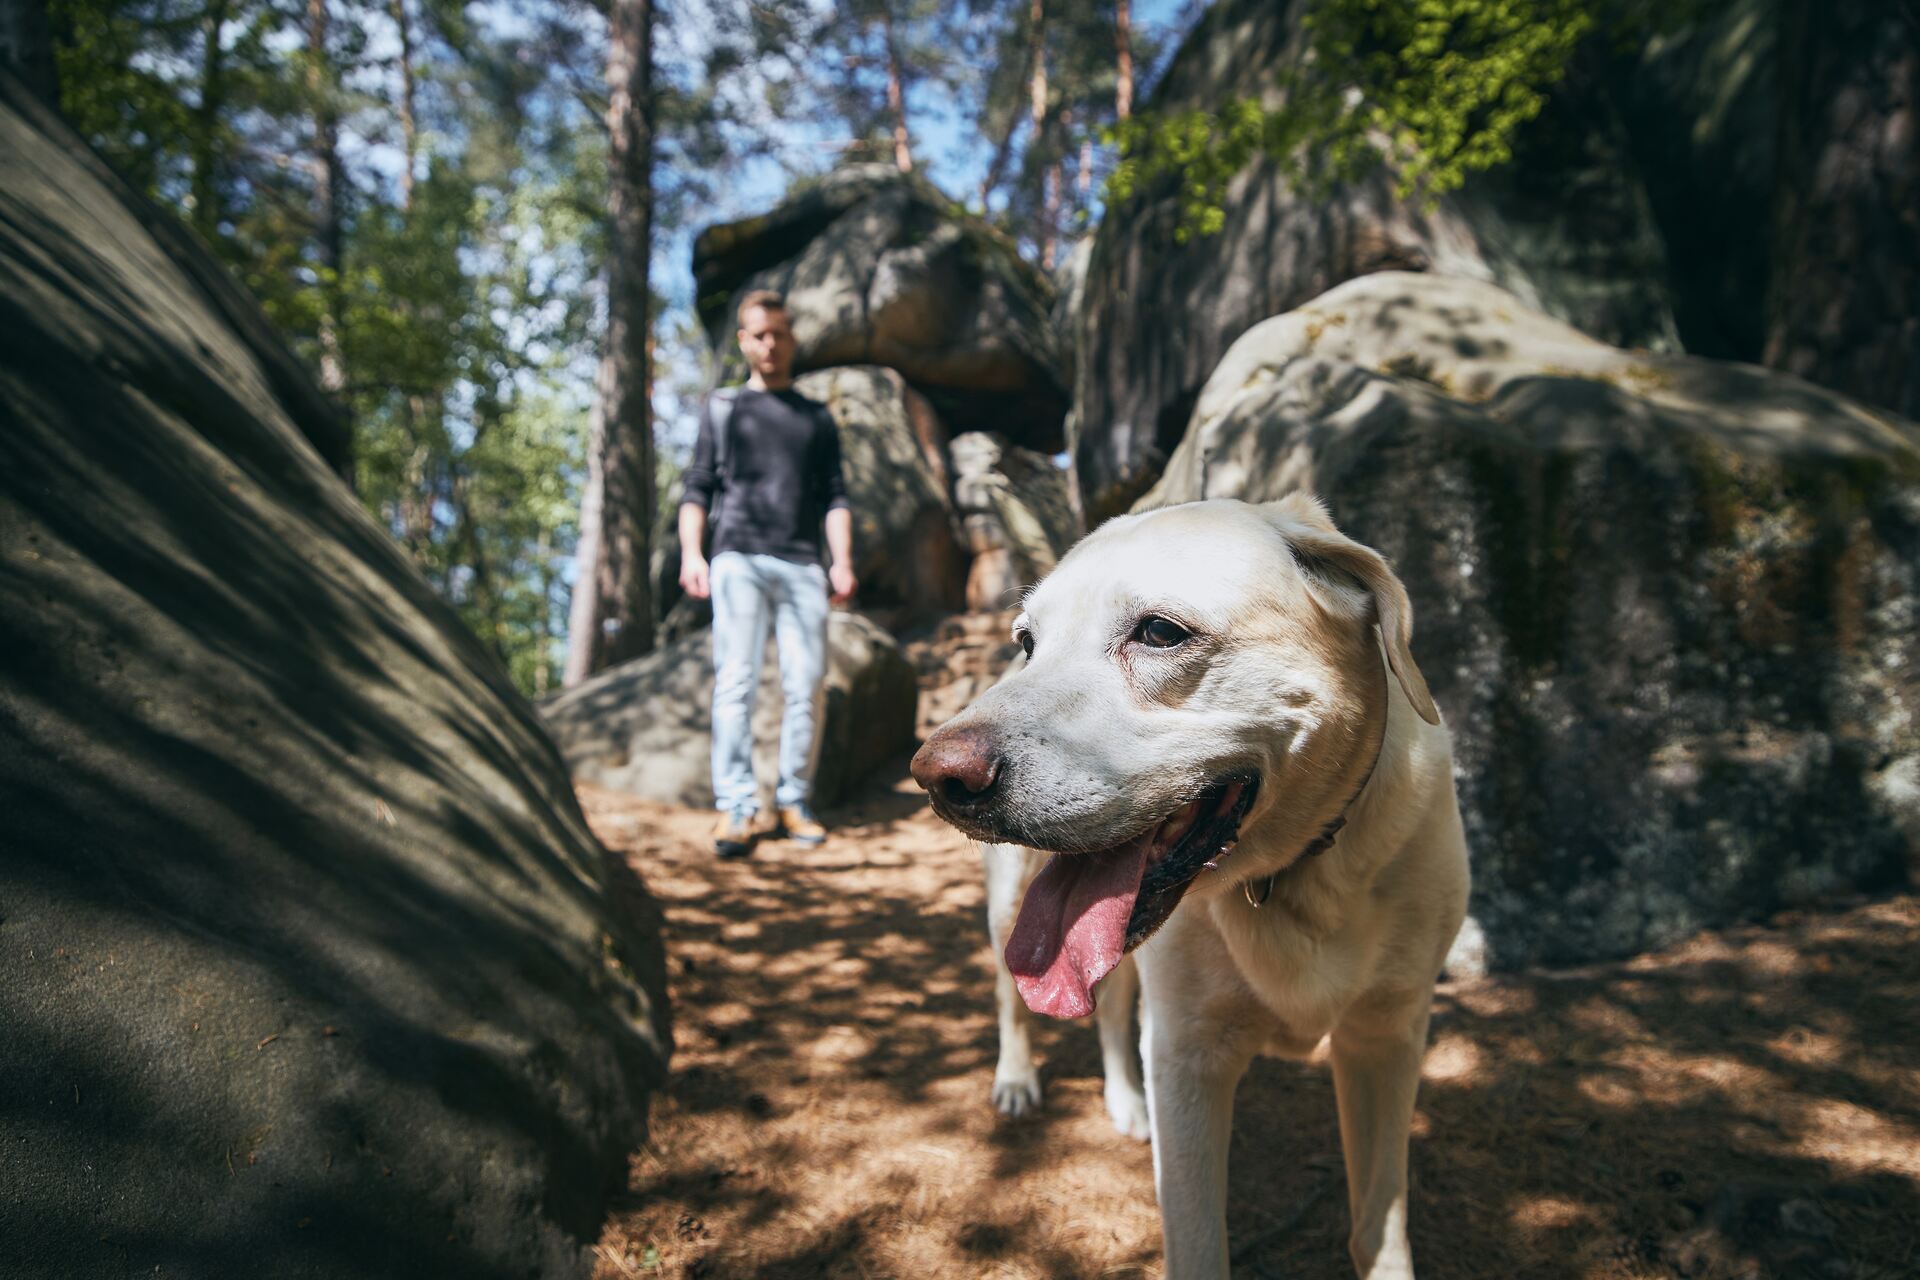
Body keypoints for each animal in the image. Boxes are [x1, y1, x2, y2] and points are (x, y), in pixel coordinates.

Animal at [906, 495, 1459, 1274]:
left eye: (1161, 632)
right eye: (1029, 642)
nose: (938, 777)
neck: (1294, 873)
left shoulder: (1386, 1038)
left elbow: (1379, 1226)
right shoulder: (1187, 1057)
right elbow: (1198, 1243)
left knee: (1109, 1010)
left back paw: (1123, 1099)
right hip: (1009, 903)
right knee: (1011, 998)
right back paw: (1015, 1080)